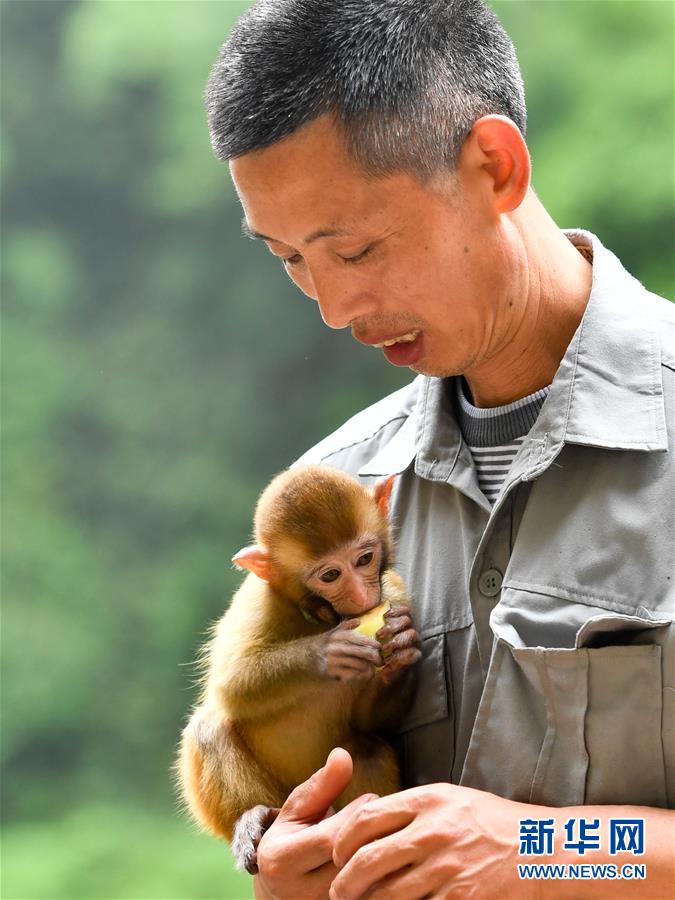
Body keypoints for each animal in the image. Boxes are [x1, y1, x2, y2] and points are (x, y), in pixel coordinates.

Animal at [177, 464, 420, 872]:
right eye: (330, 575)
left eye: (364, 559)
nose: (361, 596)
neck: (322, 617)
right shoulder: (258, 599)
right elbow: (231, 685)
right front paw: (327, 653)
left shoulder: (394, 593)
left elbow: (373, 723)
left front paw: (401, 647)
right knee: (210, 725)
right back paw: (255, 815)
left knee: (365, 747)